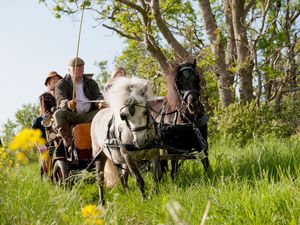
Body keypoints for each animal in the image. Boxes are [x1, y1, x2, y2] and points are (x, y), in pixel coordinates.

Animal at [91, 77, 162, 206]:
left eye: (145, 112)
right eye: (124, 116)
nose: (140, 141)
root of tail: (99, 113)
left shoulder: (154, 153)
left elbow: (157, 176)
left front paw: (155, 193)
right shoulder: (128, 157)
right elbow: (139, 180)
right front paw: (144, 200)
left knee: (123, 176)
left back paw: (126, 192)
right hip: (99, 155)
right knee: (100, 180)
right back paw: (102, 203)